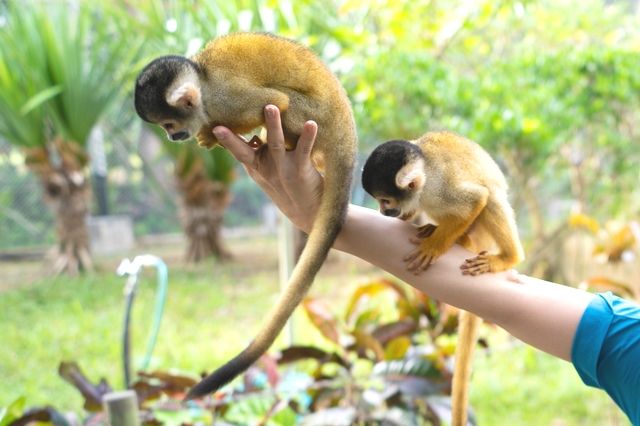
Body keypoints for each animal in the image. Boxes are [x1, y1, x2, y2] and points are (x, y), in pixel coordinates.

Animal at [133, 32, 358, 400]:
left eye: (168, 124)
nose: (170, 136)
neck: (204, 85)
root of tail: (346, 128)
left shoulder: (227, 99)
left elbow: (274, 101)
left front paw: (212, 132)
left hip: (316, 117)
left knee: (282, 104)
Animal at [362, 131, 524, 426]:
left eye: (385, 201)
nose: (382, 212)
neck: (424, 179)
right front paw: (426, 229)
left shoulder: (438, 189)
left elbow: (476, 199)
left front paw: (434, 247)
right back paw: (451, 236)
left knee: (491, 198)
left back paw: (507, 256)